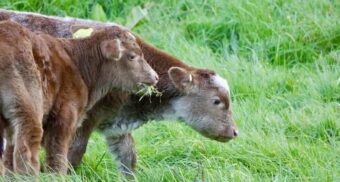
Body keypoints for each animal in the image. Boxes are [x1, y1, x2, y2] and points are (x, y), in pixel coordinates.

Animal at [0, 19, 157, 175]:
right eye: (132, 56)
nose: (155, 76)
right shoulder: (64, 117)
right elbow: (57, 157)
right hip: (28, 108)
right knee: (26, 151)